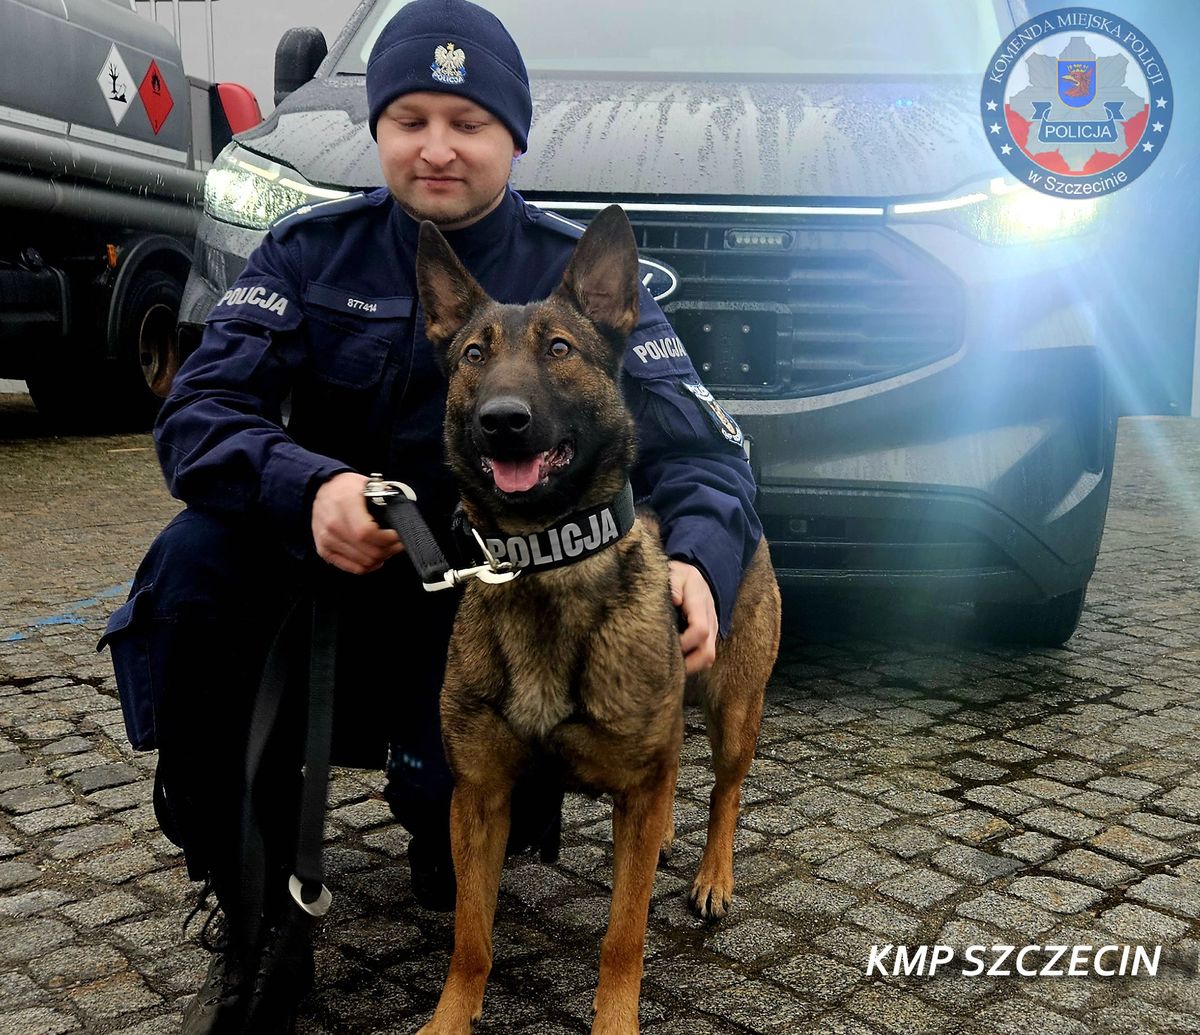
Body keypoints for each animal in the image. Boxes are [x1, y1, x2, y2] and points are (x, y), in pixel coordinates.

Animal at [413, 205, 781, 1035]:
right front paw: (450, 1018)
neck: (546, 561)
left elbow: (624, 933)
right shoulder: (479, 796)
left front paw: (615, 1020)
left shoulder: (635, 790)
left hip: (736, 711)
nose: (502, 421)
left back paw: (713, 873)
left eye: (560, 348)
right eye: (474, 354)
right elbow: (470, 935)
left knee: (724, 789)